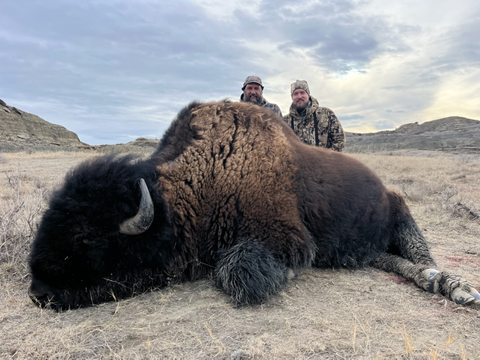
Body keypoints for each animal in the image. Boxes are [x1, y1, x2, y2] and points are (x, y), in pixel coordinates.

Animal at [28, 100, 478, 310]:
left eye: (88, 240)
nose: (38, 293)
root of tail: (384, 188)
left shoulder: (286, 238)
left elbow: (236, 272)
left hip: (402, 213)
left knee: (421, 257)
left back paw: (454, 287)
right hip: (372, 250)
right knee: (396, 263)